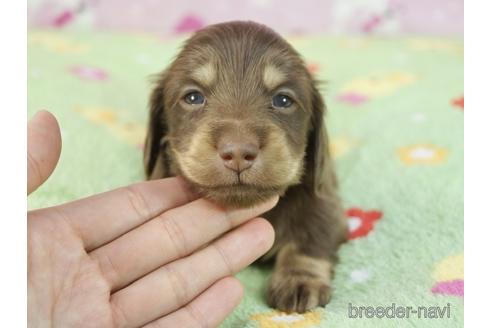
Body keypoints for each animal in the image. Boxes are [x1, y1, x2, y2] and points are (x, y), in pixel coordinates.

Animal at [144, 20, 348, 312]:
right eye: (193, 97)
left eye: (283, 100)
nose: (239, 153)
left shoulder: (324, 201)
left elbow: (311, 238)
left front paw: (299, 280)